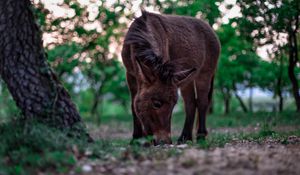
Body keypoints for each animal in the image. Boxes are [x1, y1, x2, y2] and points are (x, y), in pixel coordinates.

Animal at [121, 10, 220, 145]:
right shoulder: (130, 75)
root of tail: (210, 28)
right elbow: (133, 105)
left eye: (173, 105)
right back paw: (185, 137)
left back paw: (200, 136)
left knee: (202, 102)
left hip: (204, 74)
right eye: (157, 104)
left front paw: (142, 140)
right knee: (190, 103)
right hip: (187, 79)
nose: (166, 142)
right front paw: (137, 139)